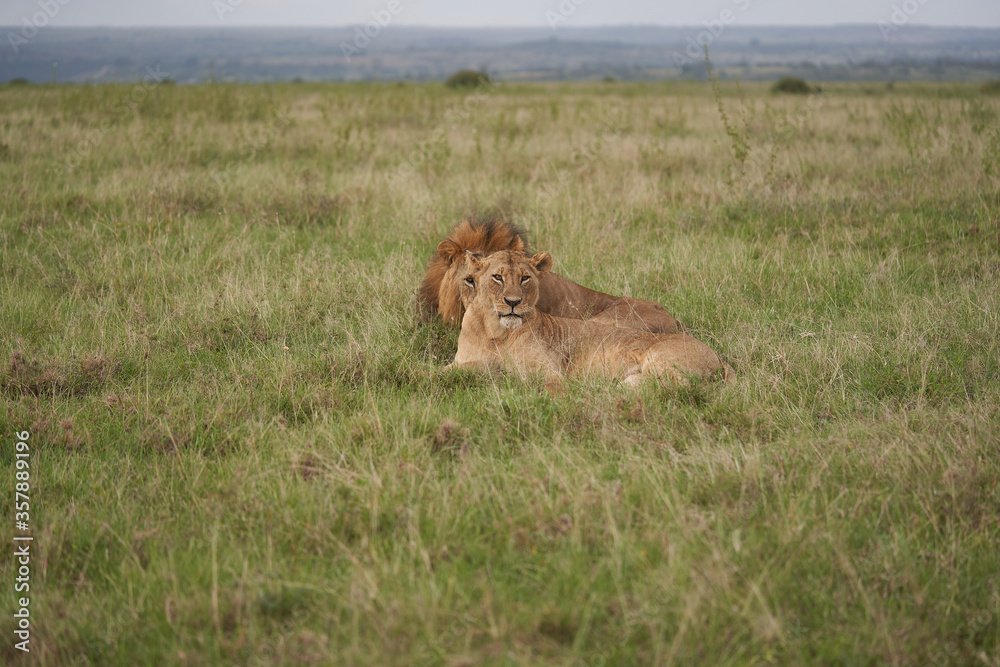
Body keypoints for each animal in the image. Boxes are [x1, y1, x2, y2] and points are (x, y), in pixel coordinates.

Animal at [447, 249, 735, 386]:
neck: (495, 331)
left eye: (525, 278)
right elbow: (441, 373)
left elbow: (546, 387)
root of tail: (720, 357)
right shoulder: (460, 362)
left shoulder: (550, 372)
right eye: (497, 277)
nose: (513, 303)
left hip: (658, 357)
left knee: (678, 386)